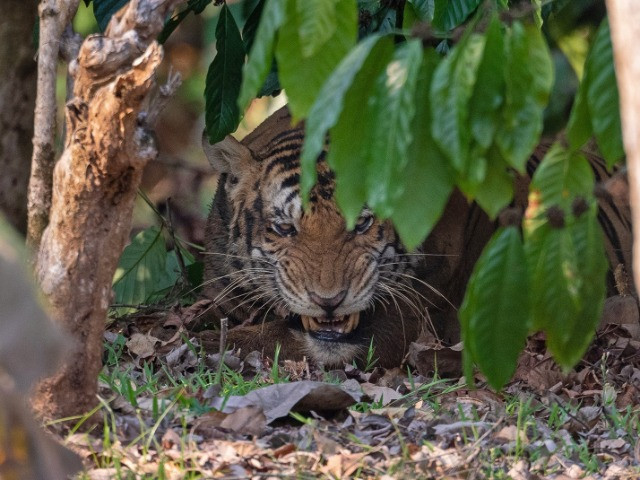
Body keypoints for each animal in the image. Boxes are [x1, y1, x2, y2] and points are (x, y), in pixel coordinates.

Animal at [201, 106, 633, 369]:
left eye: (362, 224)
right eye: (284, 229)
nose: (329, 301)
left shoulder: (402, 320)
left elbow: (267, 337)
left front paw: (209, 347)